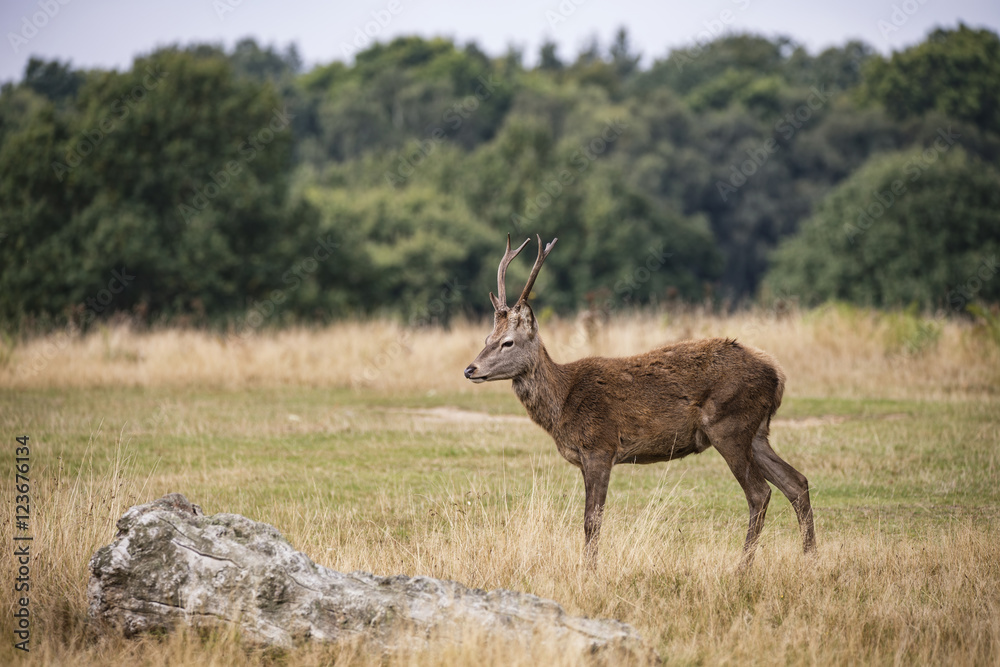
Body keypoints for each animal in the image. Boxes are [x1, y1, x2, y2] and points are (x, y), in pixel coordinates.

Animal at [463, 235, 816, 567]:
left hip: (729, 425)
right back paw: (809, 557)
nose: (470, 369)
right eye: (487, 338)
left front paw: (589, 571)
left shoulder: (600, 447)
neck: (562, 404)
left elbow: (592, 520)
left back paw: (742, 567)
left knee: (760, 492)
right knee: (797, 482)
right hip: (757, 432)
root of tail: (778, 374)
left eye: (508, 342)